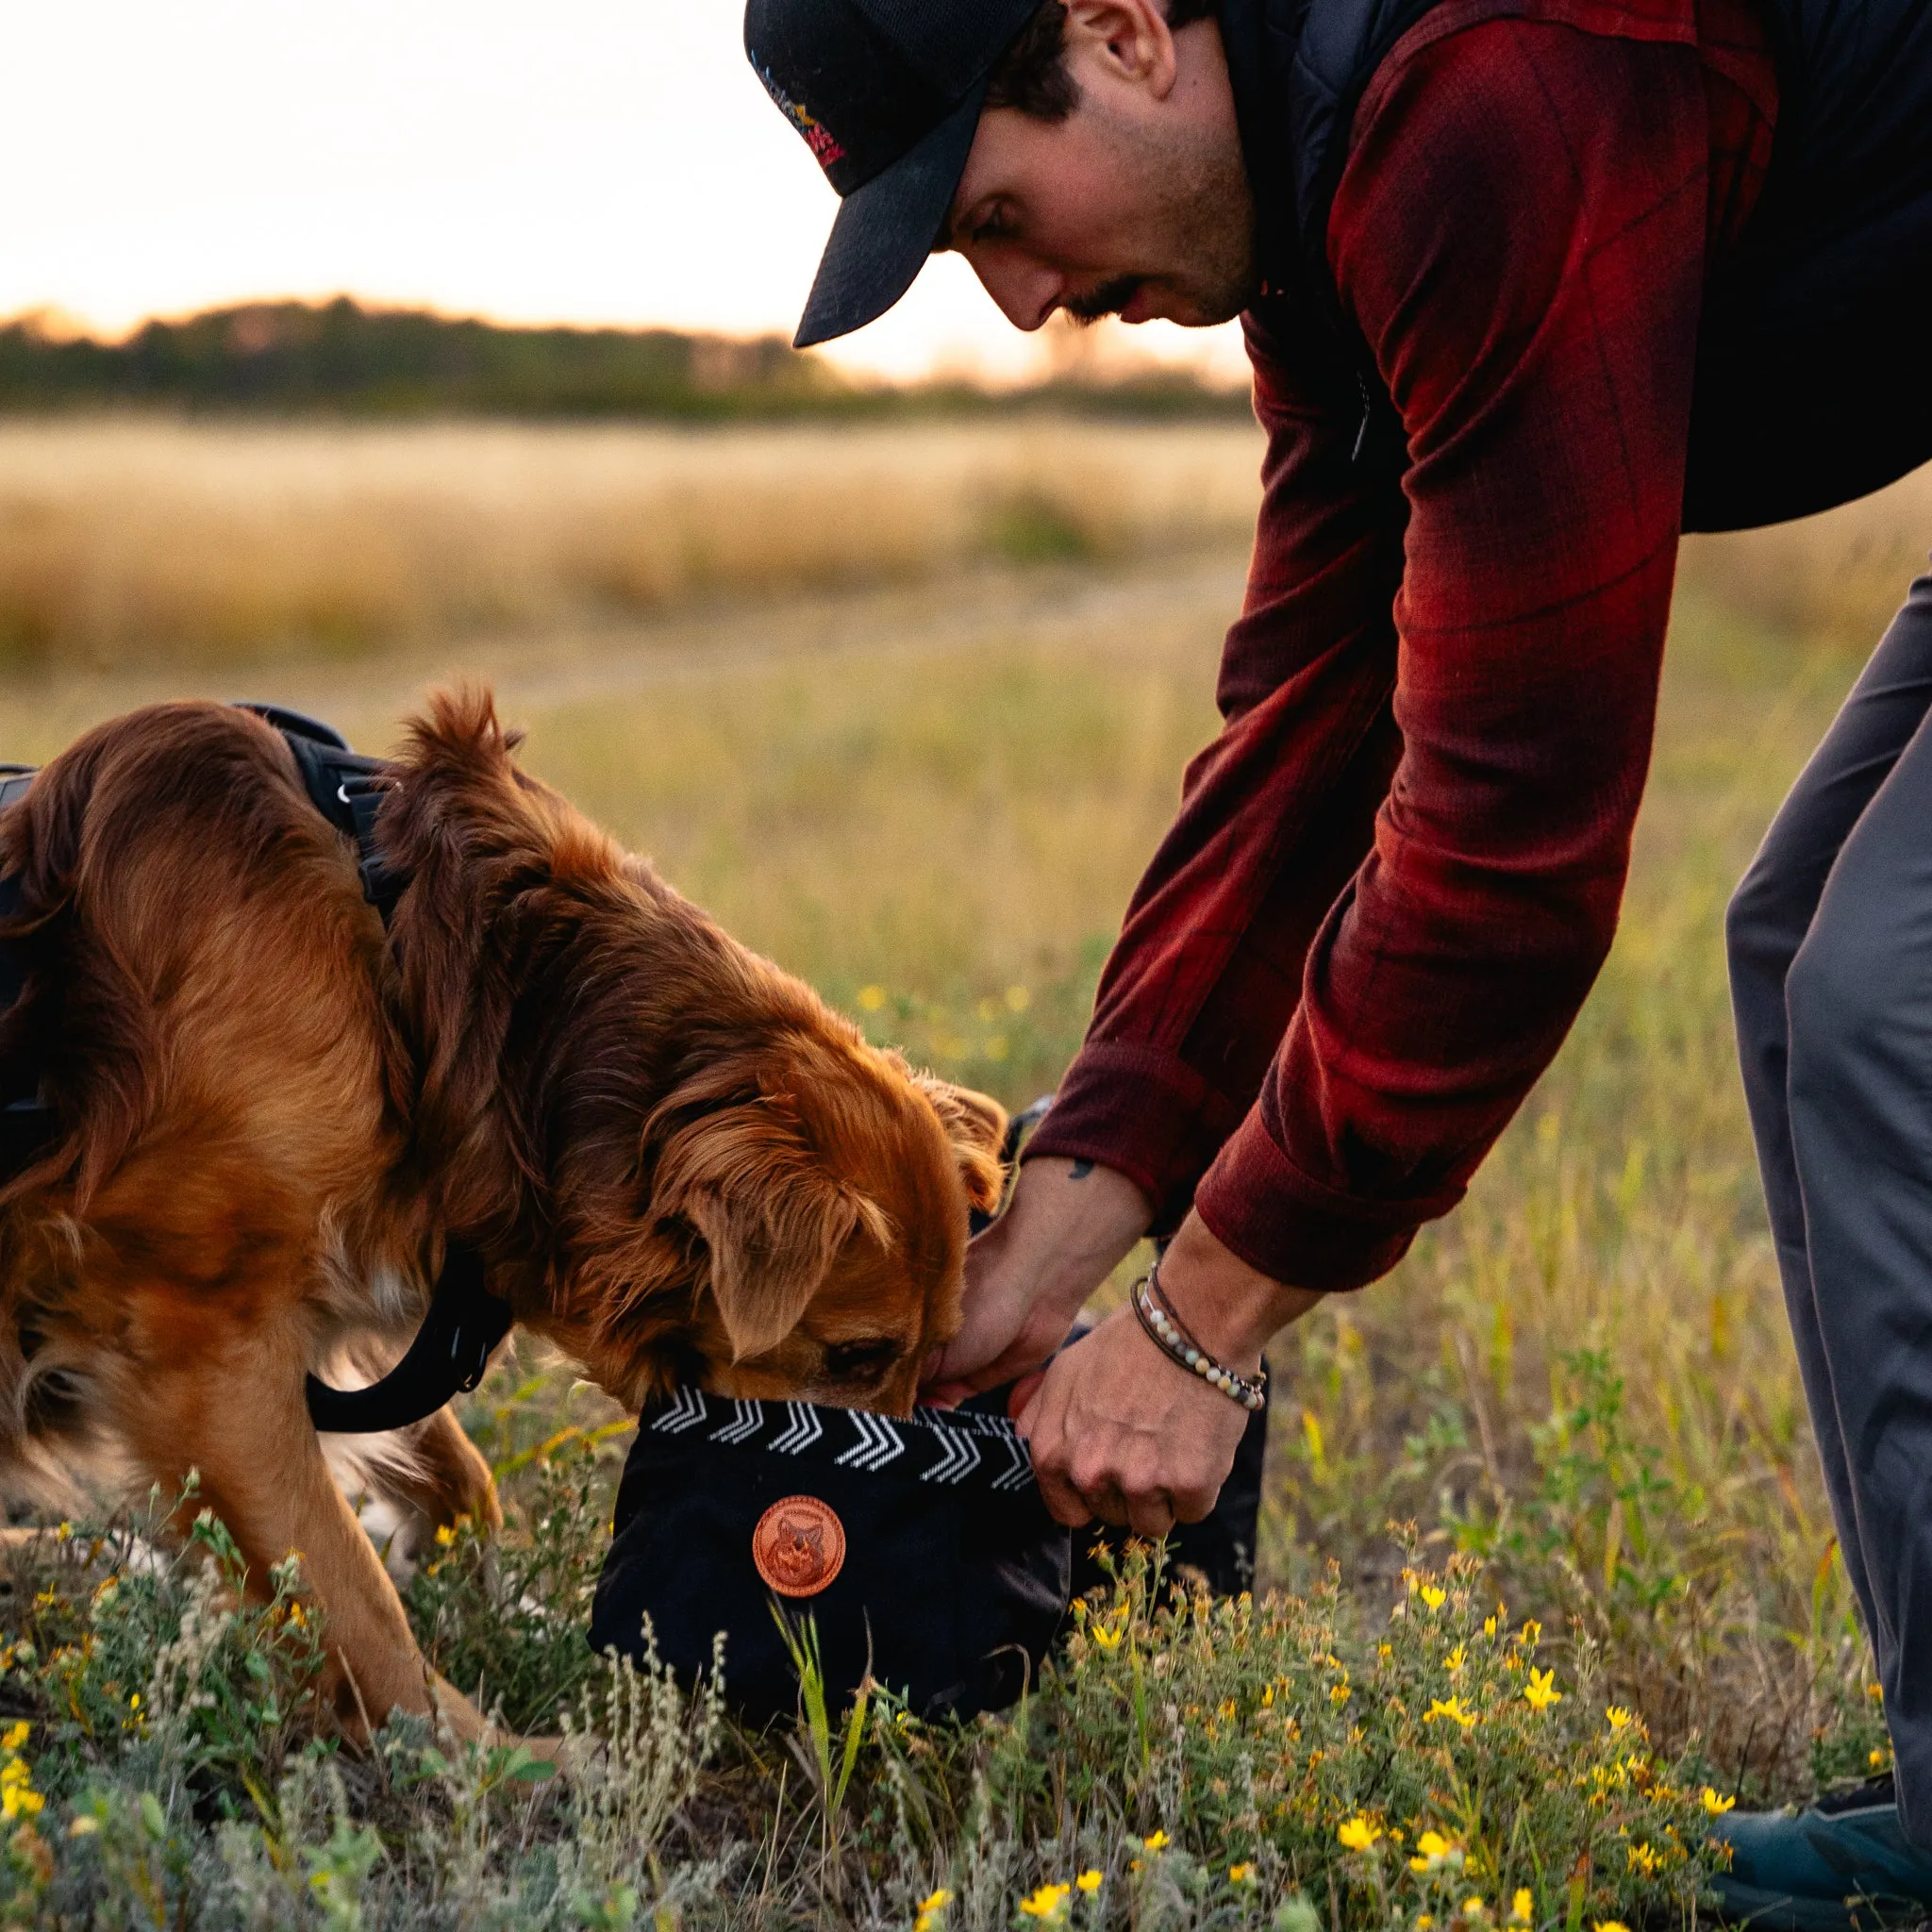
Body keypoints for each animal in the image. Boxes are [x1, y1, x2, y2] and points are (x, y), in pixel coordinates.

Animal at [0, 695, 1004, 1739]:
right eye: (855, 1355)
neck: (429, 981)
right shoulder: (199, 1352)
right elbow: (349, 1596)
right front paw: (474, 1751)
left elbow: (455, 1477)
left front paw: (500, 1607)